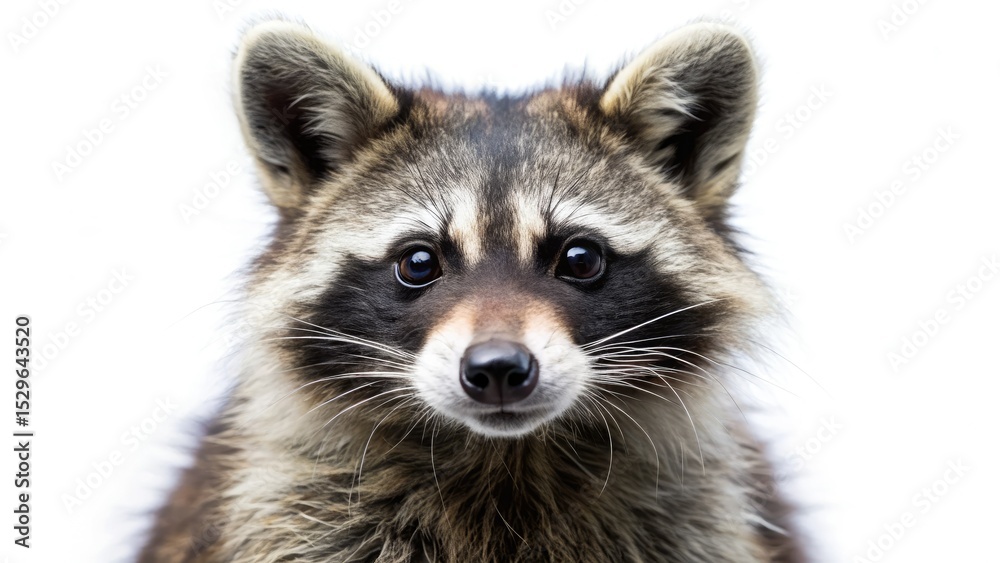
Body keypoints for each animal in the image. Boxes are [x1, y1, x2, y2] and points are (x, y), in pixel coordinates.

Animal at [139, 19, 807, 563]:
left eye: (580, 259)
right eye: (418, 262)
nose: (498, 369)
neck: (504, 460)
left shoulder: (699, 518)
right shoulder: (291, 510)